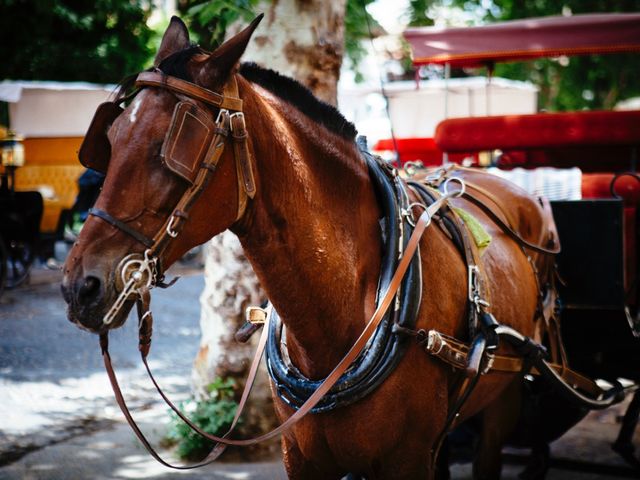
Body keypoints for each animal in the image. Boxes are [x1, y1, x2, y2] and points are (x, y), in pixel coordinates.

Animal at [62, 16, 556, 478]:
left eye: (170, 146)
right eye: (111, 139)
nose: (79, 286)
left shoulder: (407, 459)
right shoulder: (302, 457)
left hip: (503, 403)